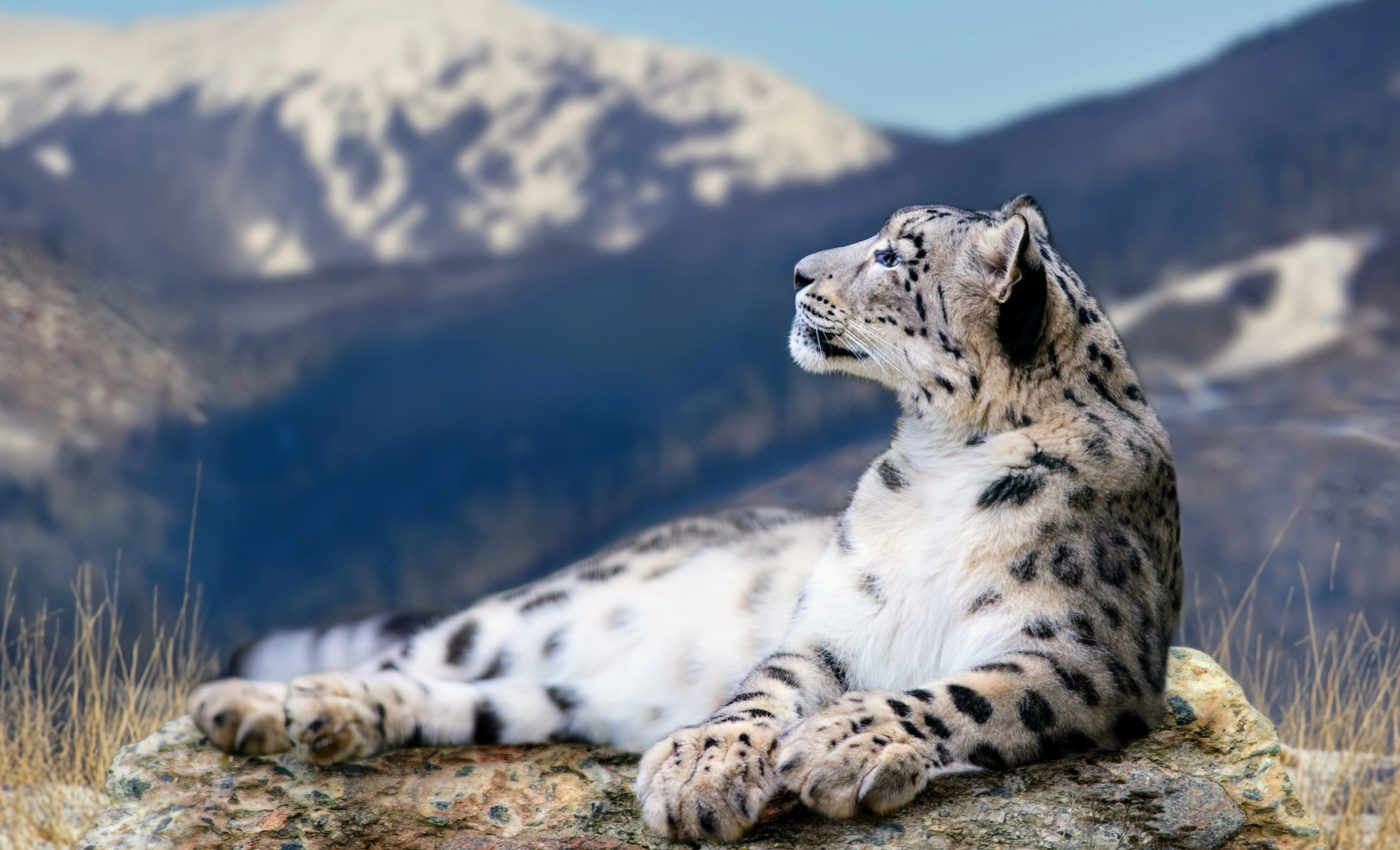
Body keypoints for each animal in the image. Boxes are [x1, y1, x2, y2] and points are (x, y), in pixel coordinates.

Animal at [188, 195, 1182, 842]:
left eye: (897, 255)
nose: (798, 271)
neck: (942, 457)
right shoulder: (829, 623)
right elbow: (766, 685)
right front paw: (702, 768)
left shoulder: (1087, 650)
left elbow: (962, 693)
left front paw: (836, 747)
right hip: (526, 612)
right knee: (407, 656)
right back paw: (264, 705)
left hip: (543, 697)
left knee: (460, 698)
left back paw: (314, 716)